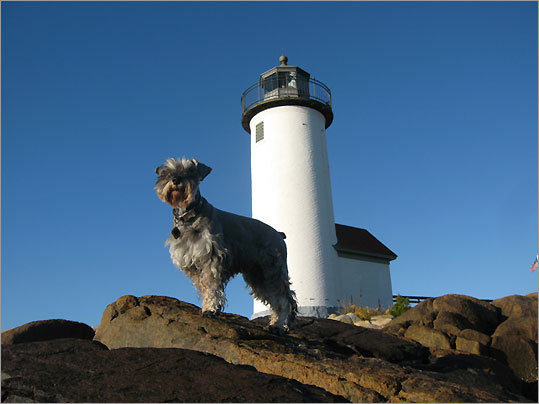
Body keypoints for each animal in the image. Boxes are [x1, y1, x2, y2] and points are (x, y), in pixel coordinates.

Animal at [154, 157, 297, 333]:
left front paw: (210, 309)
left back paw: (279, 325)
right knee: (278, 299)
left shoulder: (212, 258)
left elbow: (211, 285)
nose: (175, 180)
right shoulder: (193, 263)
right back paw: (278, 324)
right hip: (257, 275)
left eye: (190, 171)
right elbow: (203, 286)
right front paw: (206, 306)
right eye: (166, 172)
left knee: (283, 298)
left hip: (272, 271)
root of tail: (278, 234)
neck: (189, 216)